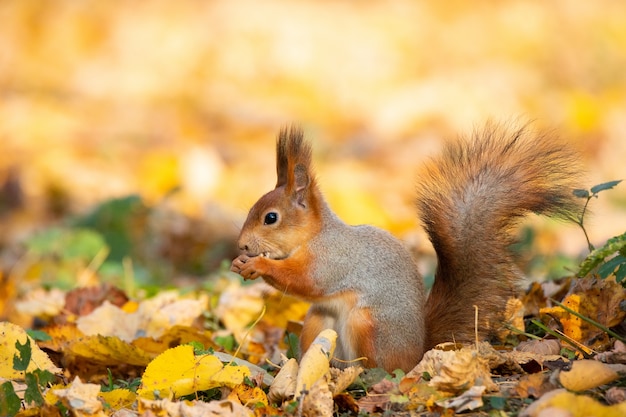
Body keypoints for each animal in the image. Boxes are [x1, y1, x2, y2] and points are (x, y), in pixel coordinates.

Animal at [229, 122, 580, 370]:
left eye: (271, 217)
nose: (242, 245)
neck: (316, 235)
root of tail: (418, 352)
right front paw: (239, 264)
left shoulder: (332, 260)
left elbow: (304, 280)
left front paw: (257, 264)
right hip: (317, 322)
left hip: (368, 324)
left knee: (383, 367)